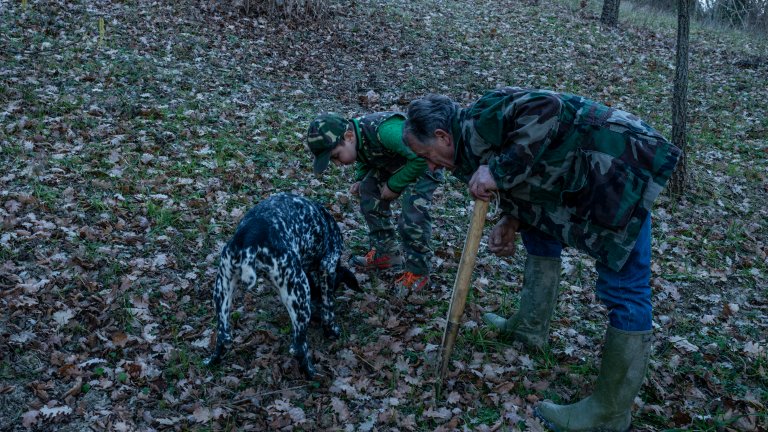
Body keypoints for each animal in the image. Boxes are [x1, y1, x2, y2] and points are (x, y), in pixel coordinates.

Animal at [204, 193, 360, 378]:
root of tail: (251, 241)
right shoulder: (328, 266)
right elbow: (328, 309)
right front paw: (332, 330)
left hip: (222, 291)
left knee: (223, 337)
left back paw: (212, 361)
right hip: (300, 294)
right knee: (298, 347)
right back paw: (312, 374)